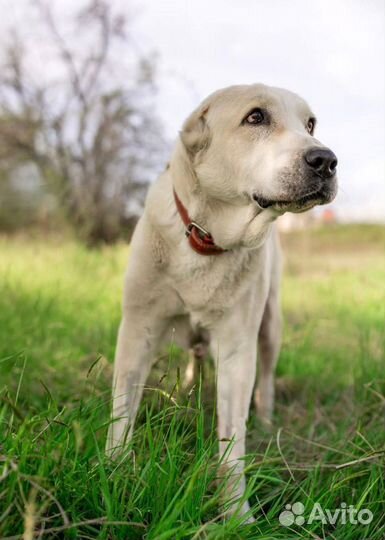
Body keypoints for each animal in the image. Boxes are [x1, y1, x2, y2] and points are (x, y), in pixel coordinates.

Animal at [106, 83, 336, 520]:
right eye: (255, 117)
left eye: (311, 124)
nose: (327, 160)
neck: (206, 239)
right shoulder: (138, 329)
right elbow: (122, 409)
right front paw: (115, 471)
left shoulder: (236, 348)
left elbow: (232, 439)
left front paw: (236, 514)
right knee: (194, 358)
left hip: (270, 326)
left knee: (266, 378)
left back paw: (265, 420)